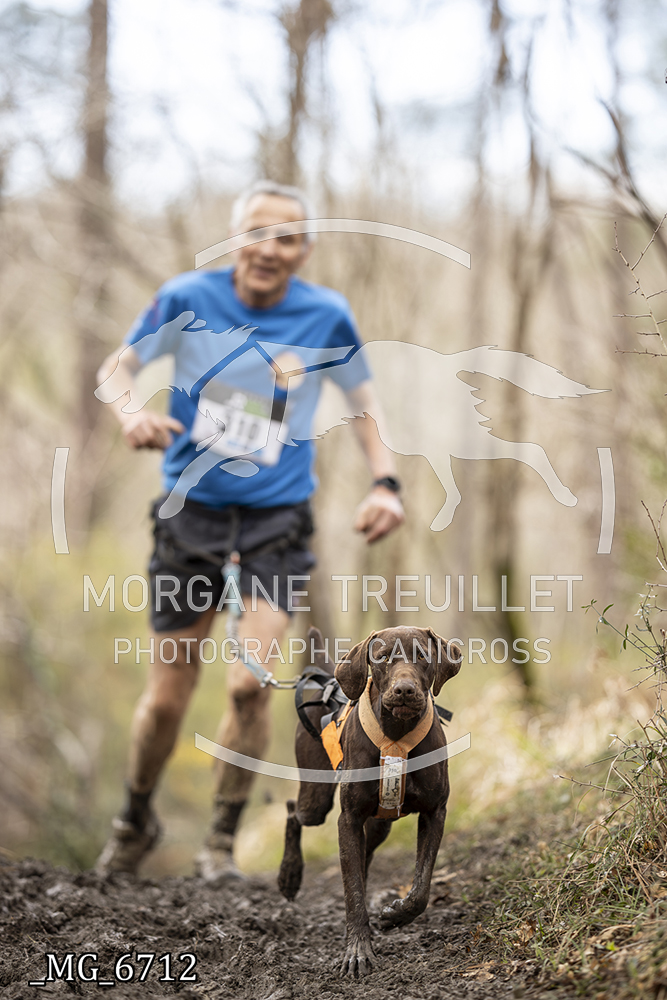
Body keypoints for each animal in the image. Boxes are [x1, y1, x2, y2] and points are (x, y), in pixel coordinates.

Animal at [278, 625, 462, 977]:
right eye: (381, 657)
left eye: (422, 655)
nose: (404, 690)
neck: (397, 731)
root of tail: (327, 682)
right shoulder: (348, 818)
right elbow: (353, 893)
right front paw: (358, 951)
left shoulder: (435, 811)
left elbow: (421, 887)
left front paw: (396, 915)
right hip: (315, 800)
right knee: (294, 812)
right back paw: (289, 874)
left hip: (379, 825)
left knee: (362, 858)